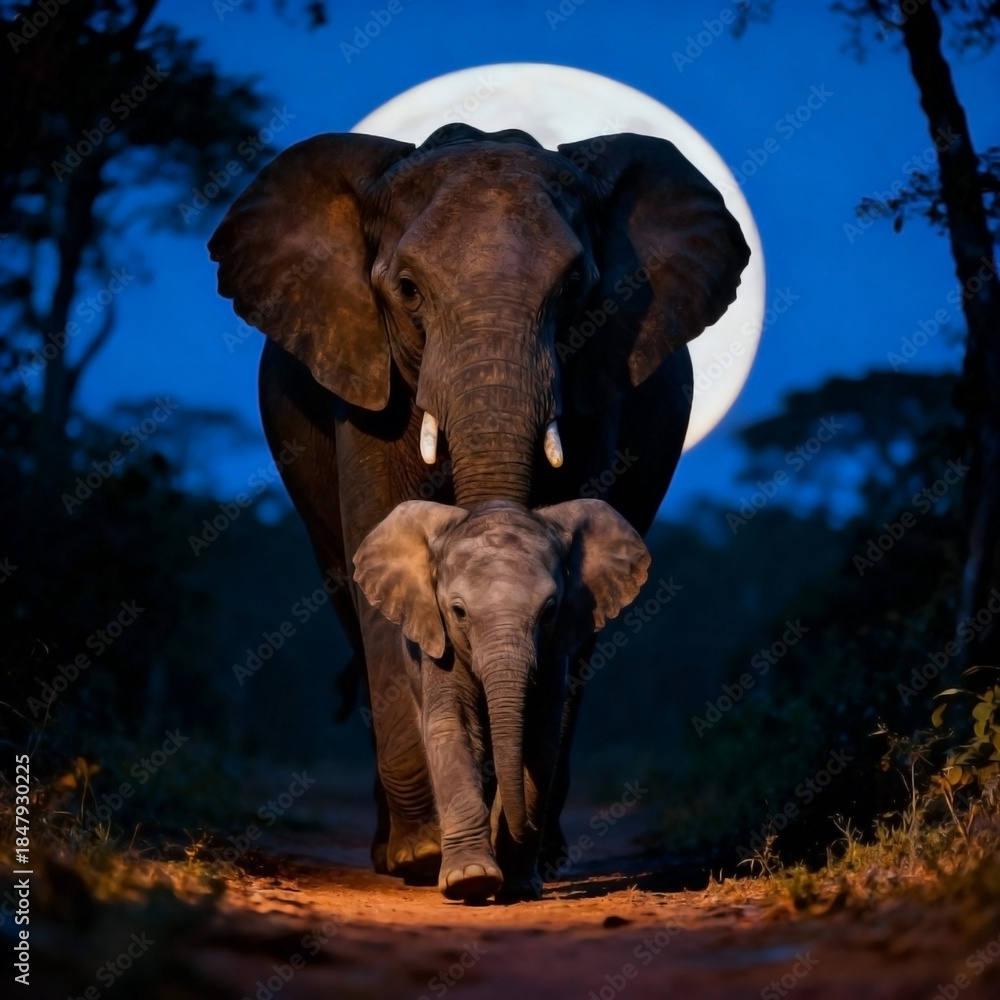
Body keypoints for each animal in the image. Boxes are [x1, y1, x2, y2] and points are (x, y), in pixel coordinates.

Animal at [352, 497, 650, 901]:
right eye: (458, 612)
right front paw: (470, 880)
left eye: (549, 611)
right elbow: (454, 729)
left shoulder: (553, 654)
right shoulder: (439, 645)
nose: (529, 829)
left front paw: (518, 886)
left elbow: (540, 741)